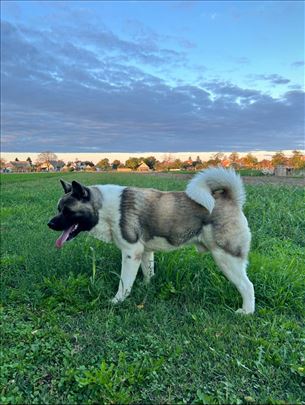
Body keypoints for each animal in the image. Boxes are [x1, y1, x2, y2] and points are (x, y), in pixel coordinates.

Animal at [47, 167, 253, 312]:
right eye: (59, 209)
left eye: (67, 211)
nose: (49, 224)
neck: (104, 207)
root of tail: (231, 199)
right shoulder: (145, 251)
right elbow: (148, 272)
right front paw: (146, 287)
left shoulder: (131, 253)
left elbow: (124, 282)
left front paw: (117, 301)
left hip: (226, 258)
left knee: (247, 286)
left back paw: (246, 312)